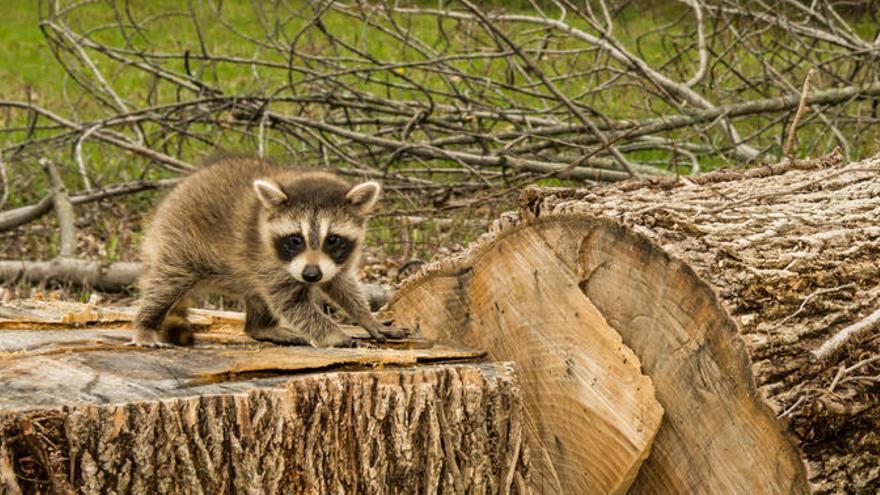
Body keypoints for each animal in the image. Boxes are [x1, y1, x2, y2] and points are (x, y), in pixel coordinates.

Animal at [132, 156, 408, 348]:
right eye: (295, 239)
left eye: (332, 240)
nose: (311, 275)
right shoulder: (266, 259)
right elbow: (292, 304)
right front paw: (334, 334)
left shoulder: (335, 262)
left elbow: (342, 285)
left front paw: (367, 317)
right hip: (178, 242)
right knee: (165, 285)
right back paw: (146, 324)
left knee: (256, 296)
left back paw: (261, 328)